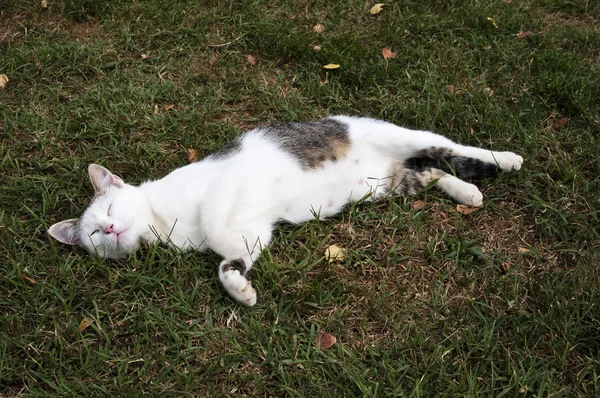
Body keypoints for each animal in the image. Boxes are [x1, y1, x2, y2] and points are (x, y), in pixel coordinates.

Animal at [49, 115, 524, 304]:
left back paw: (504, 159)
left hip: (399, 135)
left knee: (449, 147)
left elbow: (216, 222)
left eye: (111, 206)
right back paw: (467, 192)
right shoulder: (256, 232)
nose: (111, 229)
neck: (165, 224)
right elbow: (229, 261)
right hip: (384, 186)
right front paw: (240, 288)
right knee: (432, 170)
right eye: (94, 236)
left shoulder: (224, 182)